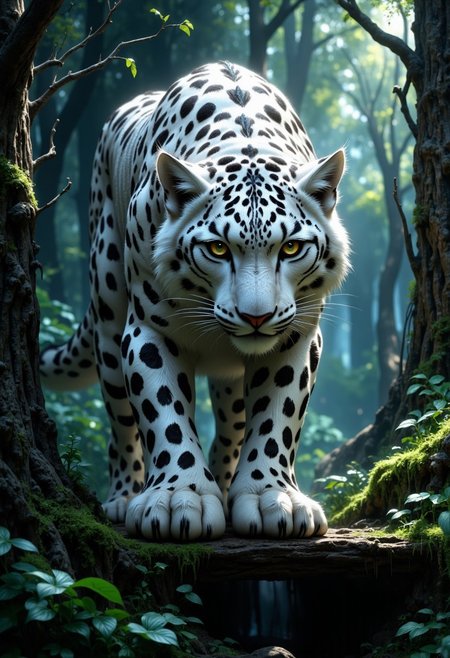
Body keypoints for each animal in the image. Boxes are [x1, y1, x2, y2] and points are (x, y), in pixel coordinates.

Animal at [40, 61, 350, 542]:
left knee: (234, 421)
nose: (256, 317)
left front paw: (271, 498)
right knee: (120, 424)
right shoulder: (149, 329)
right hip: (108, 314)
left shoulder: (297, 335)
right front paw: (177, 501)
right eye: (218, 249)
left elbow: (276, 416)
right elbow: (163, 411)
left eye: (292, 248)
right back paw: (124, 497)